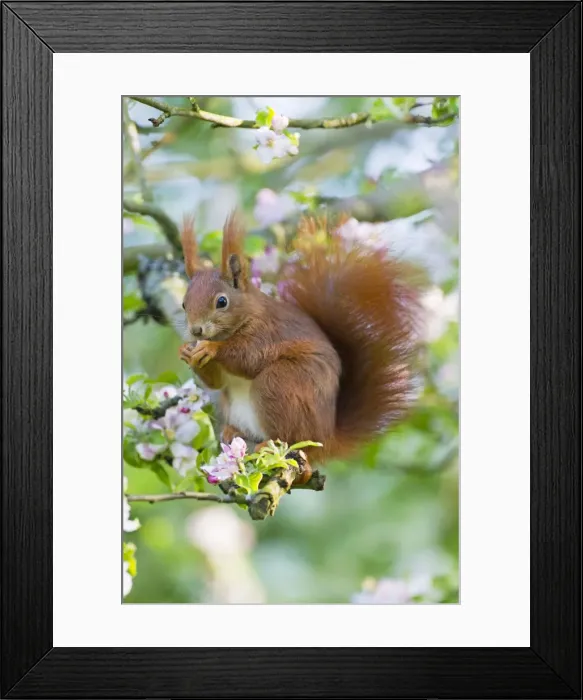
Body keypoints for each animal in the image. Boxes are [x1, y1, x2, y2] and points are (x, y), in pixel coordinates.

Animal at [179, 212, 421, 484]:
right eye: (184, 304)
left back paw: (270, 444)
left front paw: (211, 348)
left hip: (281, 384)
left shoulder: (268, 333)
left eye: (222, 301)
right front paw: (188, 352)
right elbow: (217, 382)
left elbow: (249, 358)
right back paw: (233, 431)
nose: (196, 331)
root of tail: (325, 438)